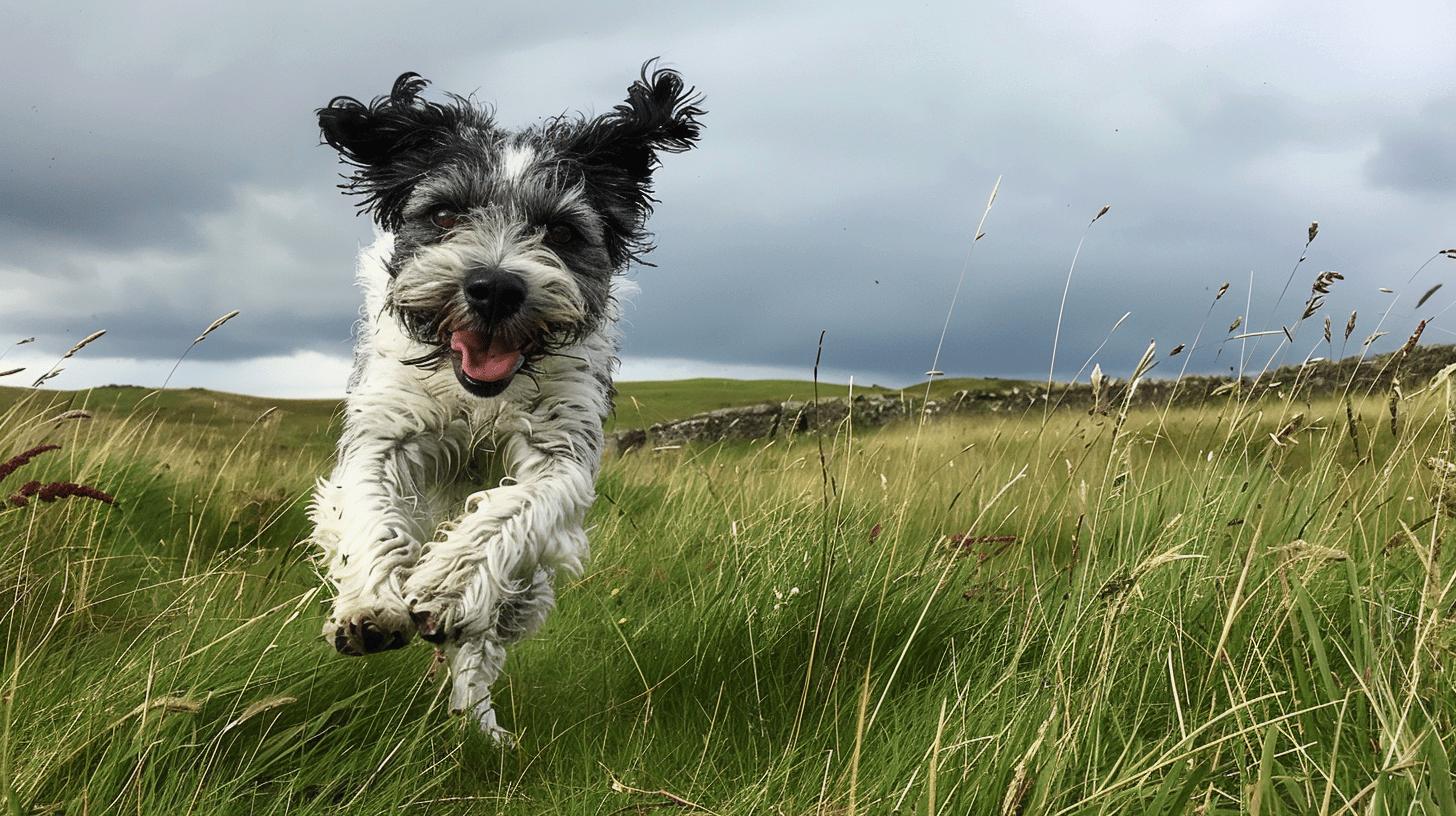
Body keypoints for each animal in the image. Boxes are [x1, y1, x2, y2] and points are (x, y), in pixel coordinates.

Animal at [307, 63, 704, 737]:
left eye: (562, 231)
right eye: (444, 214)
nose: (493, 287)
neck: (477, 395)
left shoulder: (562, 446)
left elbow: (515, 507)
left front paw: (447, 584)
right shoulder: (389, 426)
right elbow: (369, 507)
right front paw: (370, 605)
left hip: (527, 589)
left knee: (484, 641)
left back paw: (480, 728)